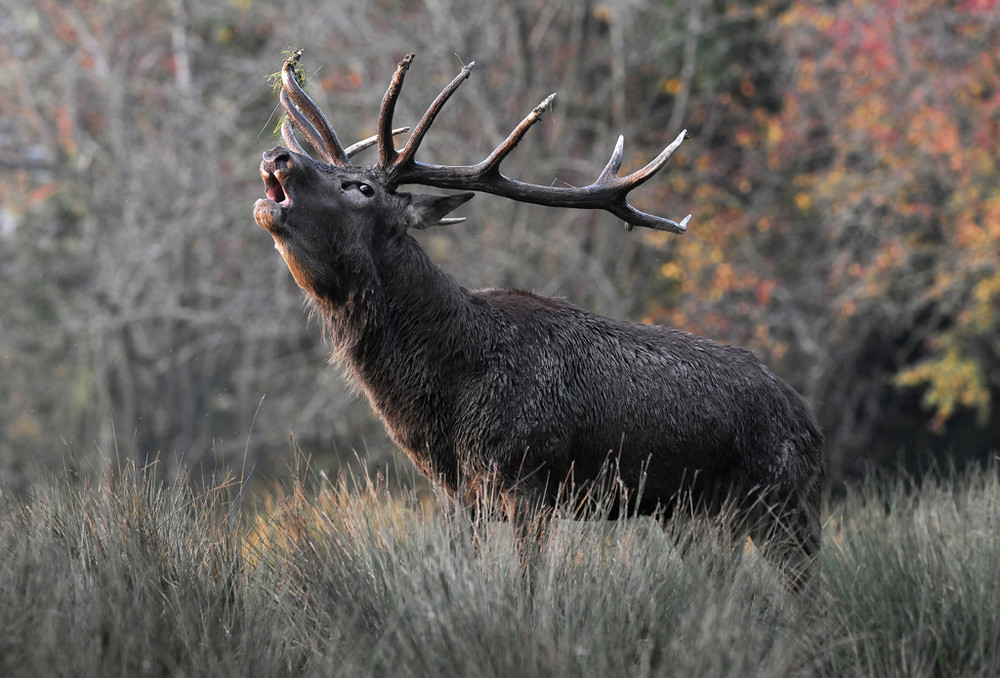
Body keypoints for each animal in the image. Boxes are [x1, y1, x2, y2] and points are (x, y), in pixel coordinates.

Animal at [254, 53, 824, 588]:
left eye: (361, 188)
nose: (276, 155)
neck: (445, 395)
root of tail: (808, 419)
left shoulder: (529, 481)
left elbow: (528, 590)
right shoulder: (460, 497)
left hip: (785, 500)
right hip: (692, 515)